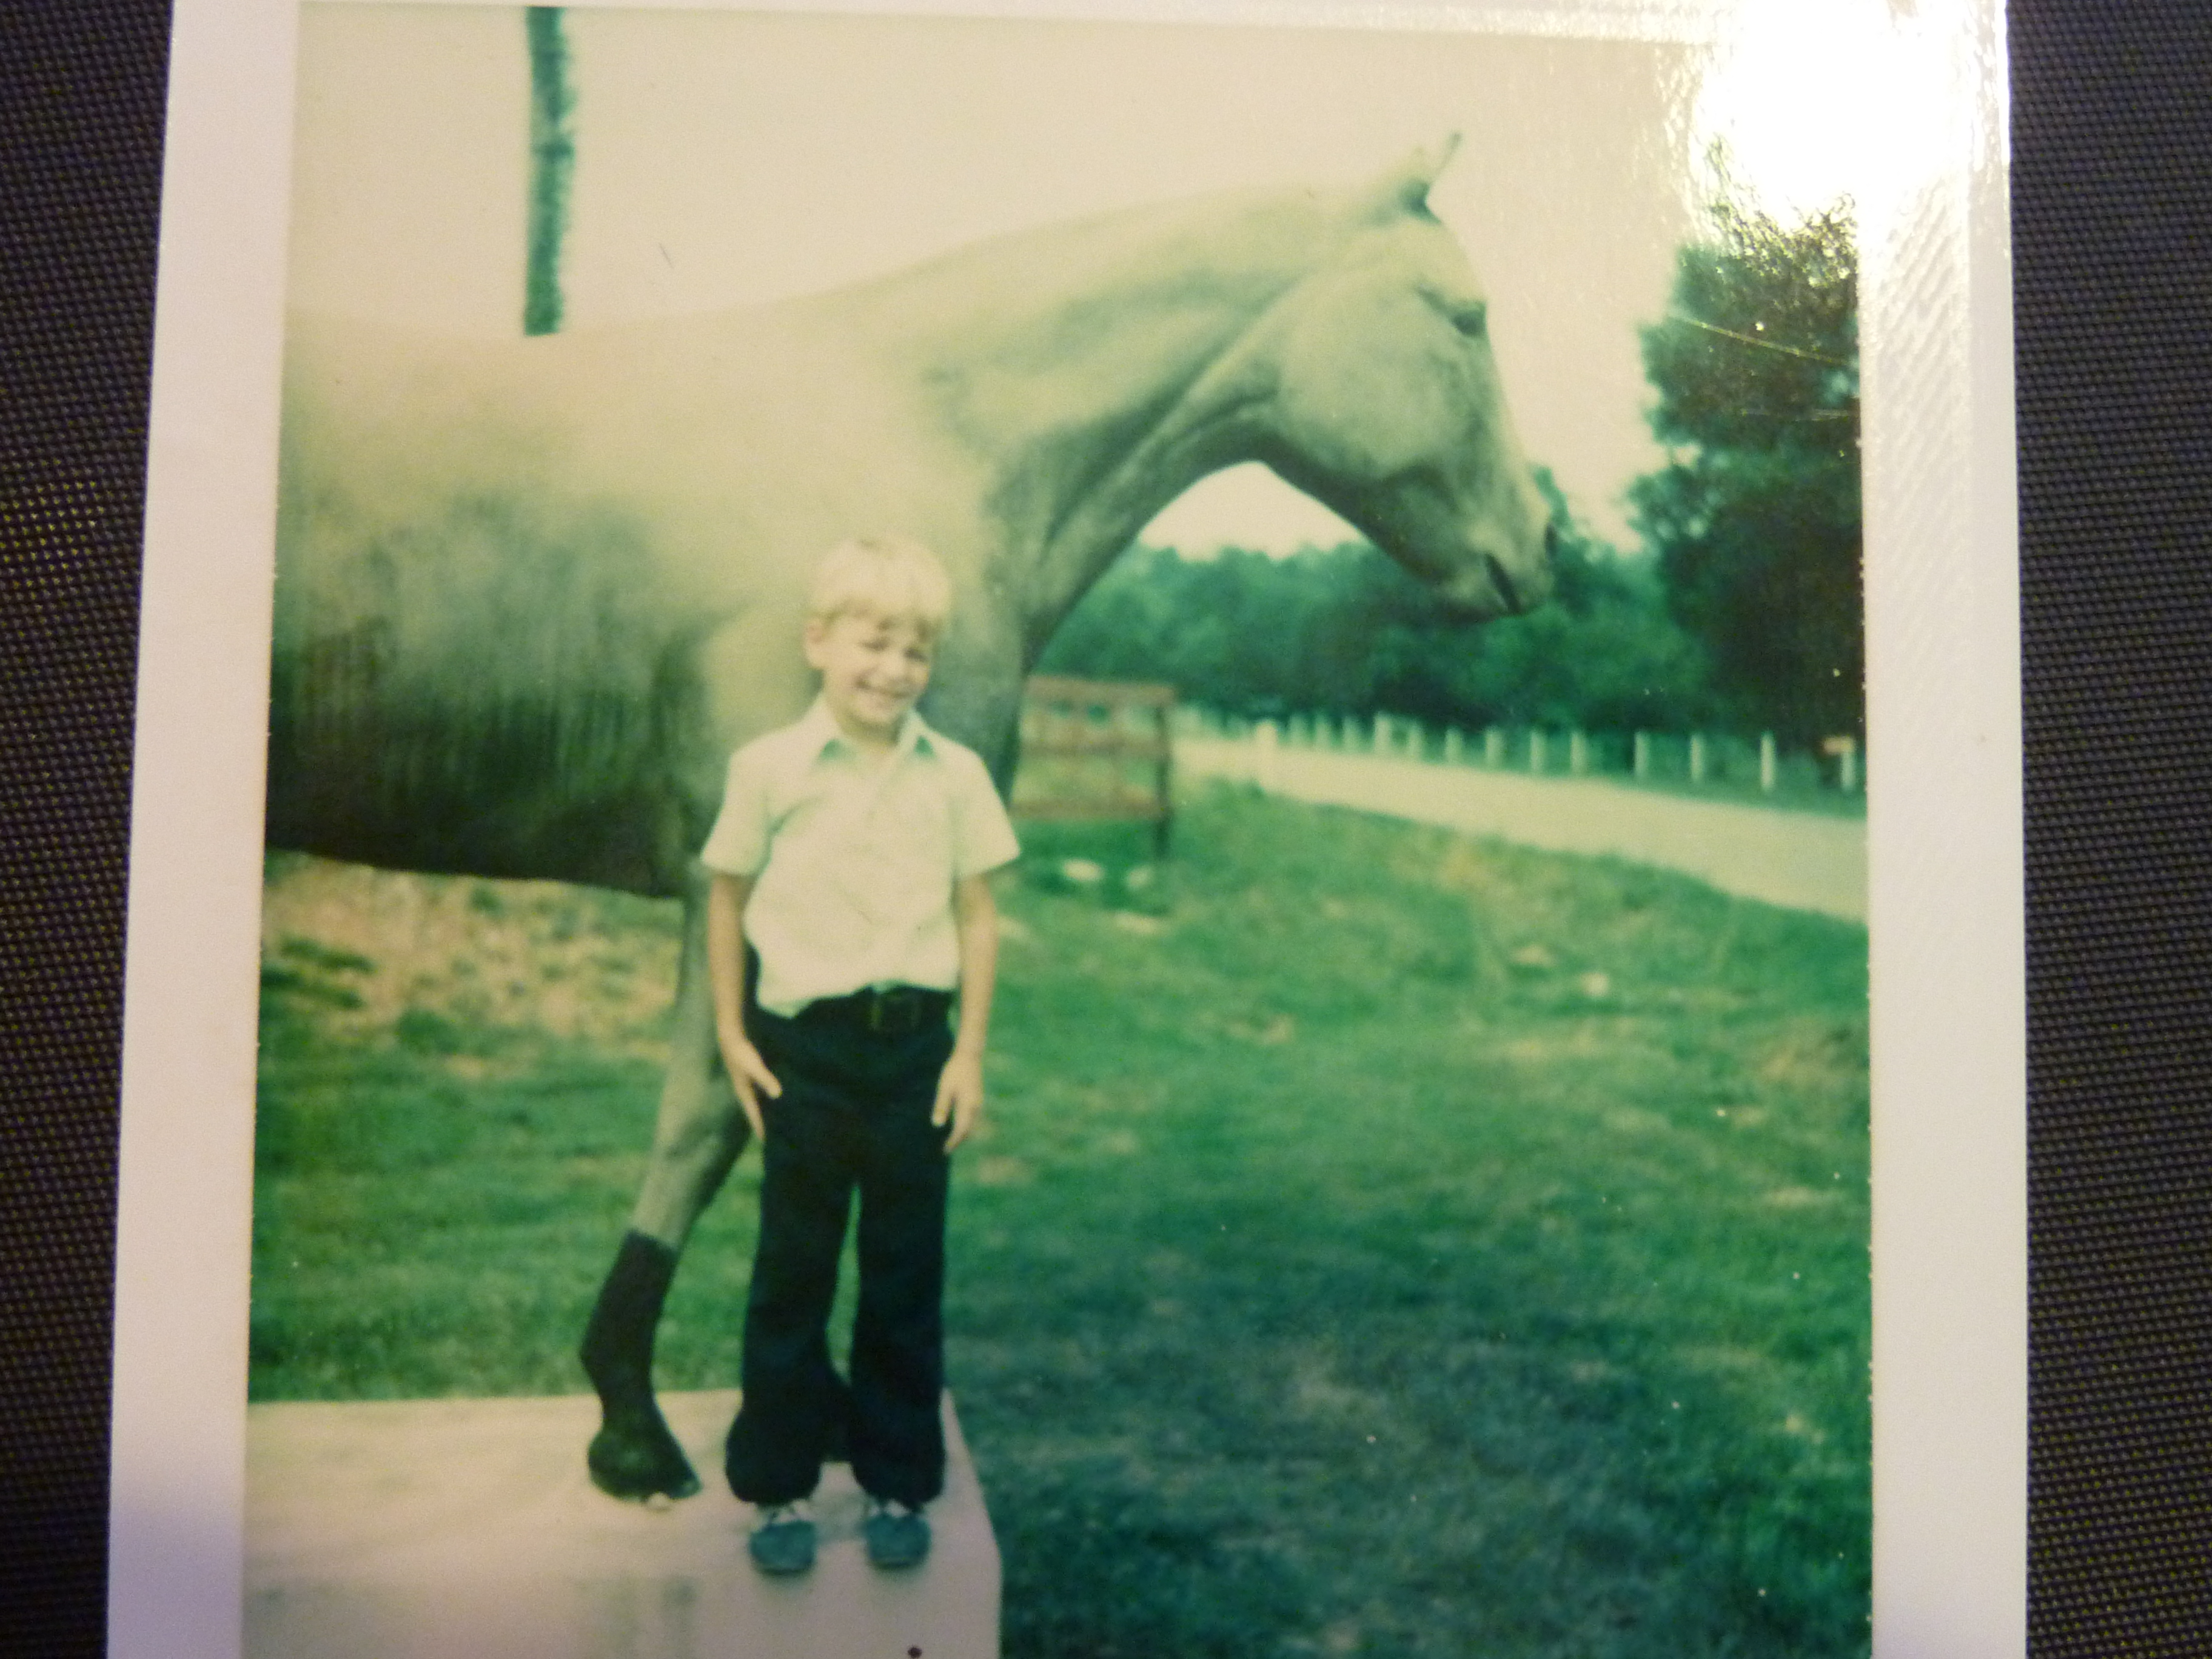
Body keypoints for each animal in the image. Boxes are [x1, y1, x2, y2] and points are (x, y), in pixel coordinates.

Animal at [267, 143, 1555, 1499]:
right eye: (1464, 317)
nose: (1542, 545)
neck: (923, 437)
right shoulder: (737, 889)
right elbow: (718, 1119)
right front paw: (636, 1417)